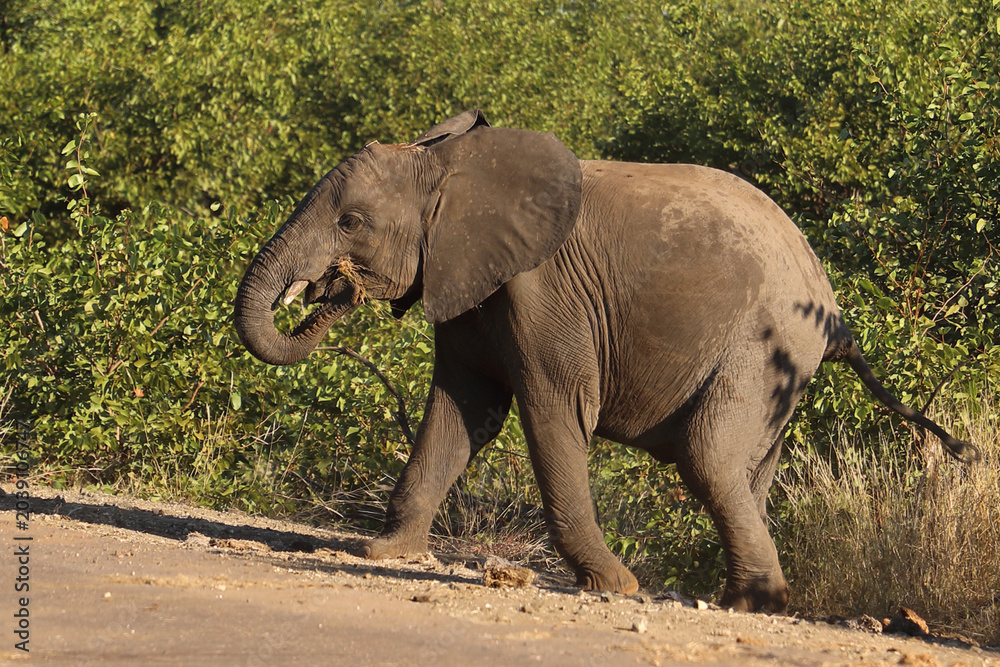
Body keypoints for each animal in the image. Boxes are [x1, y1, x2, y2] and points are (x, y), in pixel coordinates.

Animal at [234, 110, 975, 612]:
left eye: (351, 223)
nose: (331, 287)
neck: (453, 166)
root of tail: (834, 306)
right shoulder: (472, 282)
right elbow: (461, 410)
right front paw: (385, 553)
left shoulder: (542, 290)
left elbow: (553, 409)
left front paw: (615, 586)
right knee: (745, 465)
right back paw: (741, 599)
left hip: (767, 345)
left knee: (707, 453)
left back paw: (758, 601)